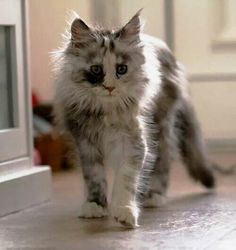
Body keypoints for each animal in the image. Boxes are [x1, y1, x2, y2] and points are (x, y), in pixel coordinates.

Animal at [53, 10, 216, 229]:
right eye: (96, 70)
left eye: (121, 69)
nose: (110, 87)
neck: (107, 110)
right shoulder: (86, 143)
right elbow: (94, 177)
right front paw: (95, 205)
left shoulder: (133, 141)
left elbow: (126, 179)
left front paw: (124, 210)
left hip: (161, 127)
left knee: (163, 161)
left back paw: (153, 196)